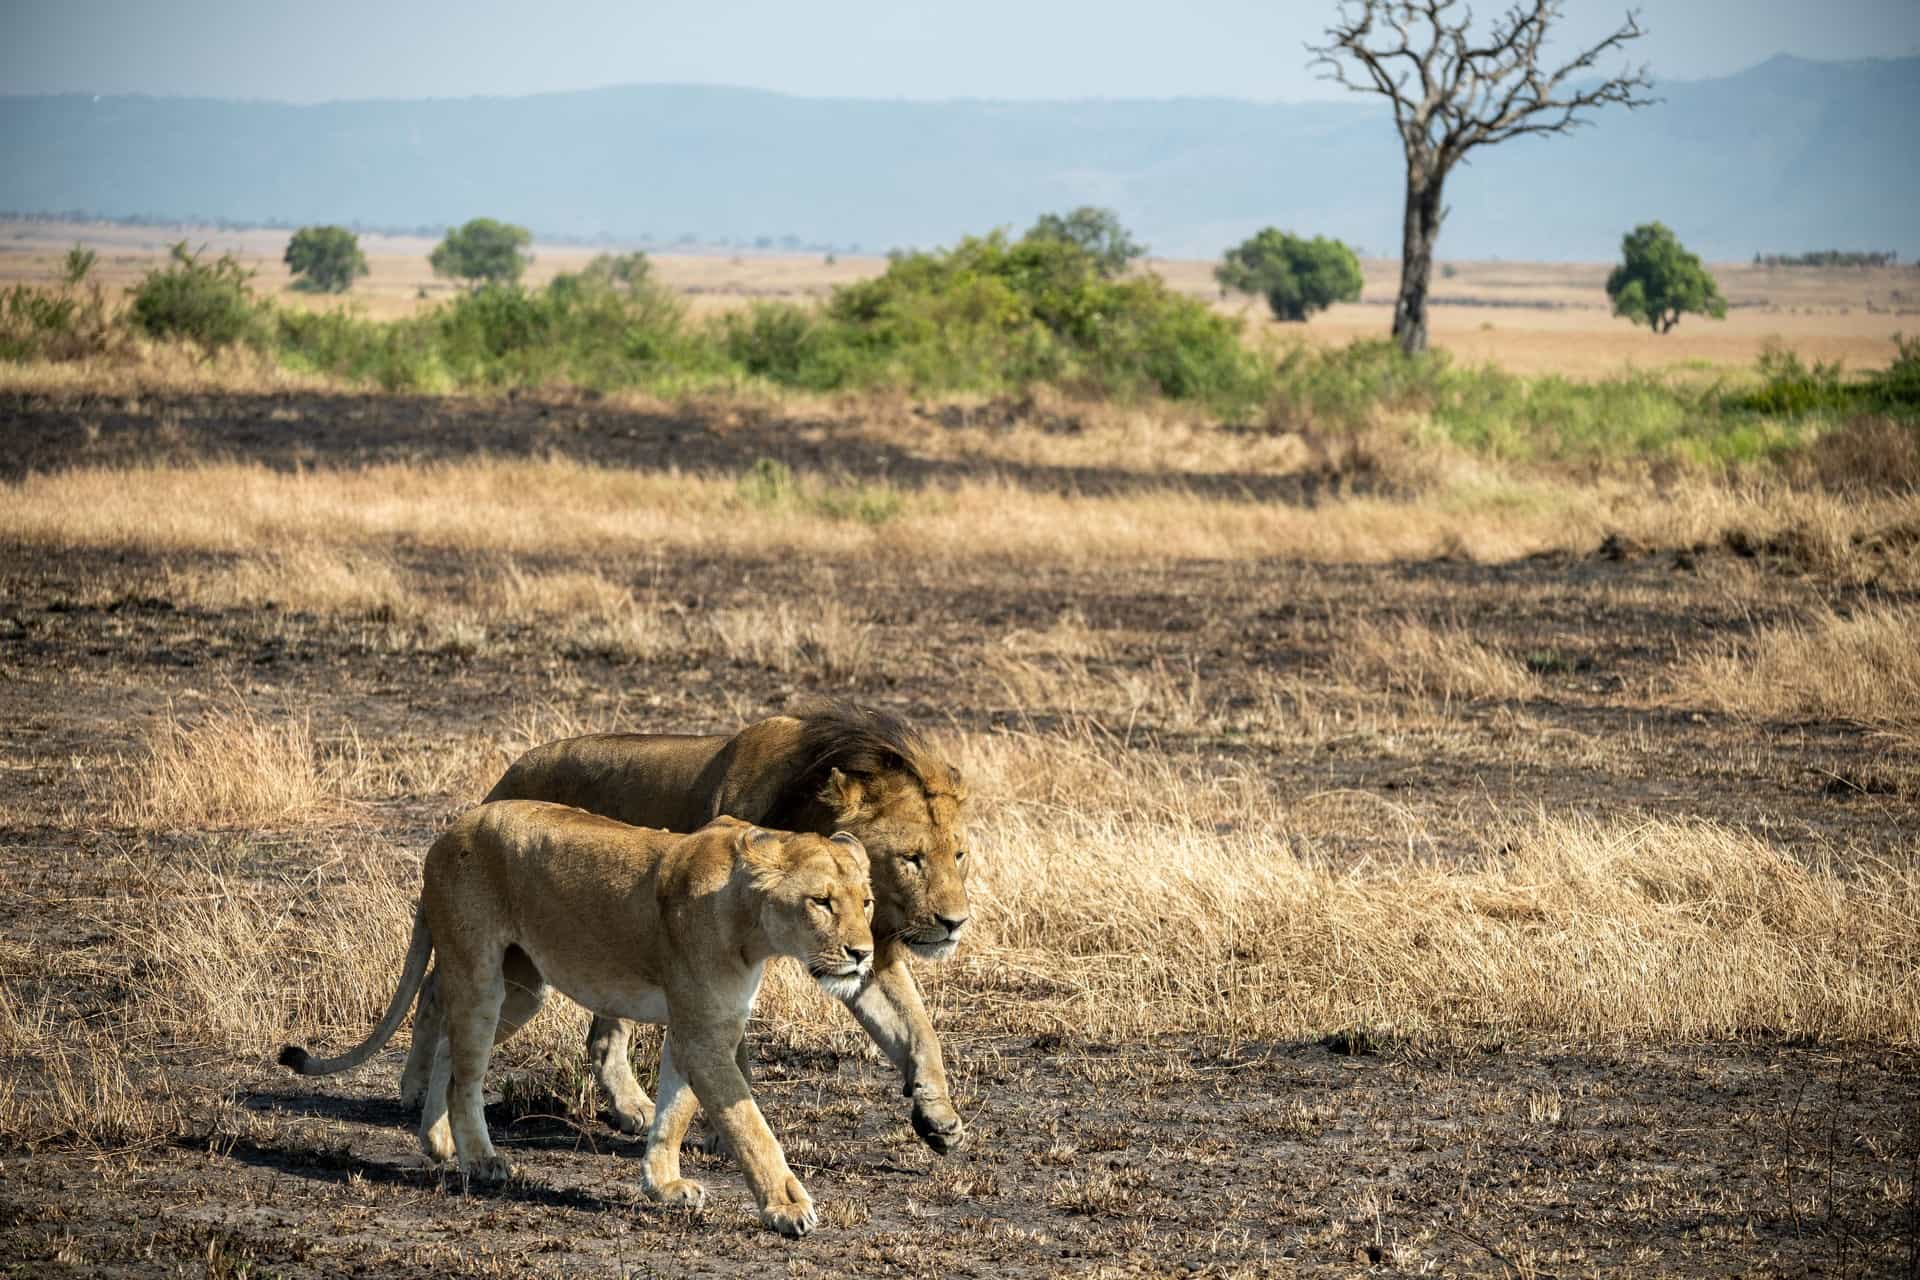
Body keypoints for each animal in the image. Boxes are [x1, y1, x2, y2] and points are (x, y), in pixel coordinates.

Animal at [280, 805, 879, 1235]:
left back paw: (440, 1143)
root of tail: (450, 829)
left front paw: (664, 1186)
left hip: (523, 987)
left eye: (867, 902)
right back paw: (481, 1159)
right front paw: (787, 1207)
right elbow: (749, 1126)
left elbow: (676, 1111)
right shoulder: (704, 1032)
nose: (863, 954)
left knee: (452, 1048)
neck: (753, 928)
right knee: (466, 1071)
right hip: (480, 972)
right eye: (821, 902)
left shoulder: (702, 1026)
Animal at [403, 706, 975, 1159]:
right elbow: (733, 1052)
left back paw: (629, 1106)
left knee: (601, 1033)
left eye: (959, 854)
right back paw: (416, 1090)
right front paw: (726, 1134)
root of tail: (507, 775)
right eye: (911, 859)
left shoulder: (866, 946)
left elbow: (916, 1025)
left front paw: (939, 1117)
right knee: (437, 991)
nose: (955, 923)